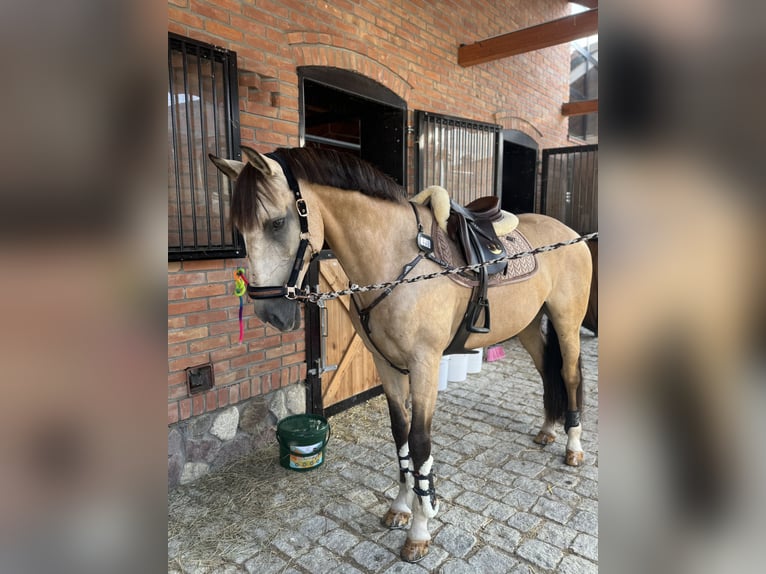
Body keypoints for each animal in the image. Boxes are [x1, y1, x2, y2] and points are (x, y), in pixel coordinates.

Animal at [213, 145, 596, 564]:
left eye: (277, 223)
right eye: (239, 229)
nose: (270, 313)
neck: (396, 258)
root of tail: (571, 235)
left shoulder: (424, 364)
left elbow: (420, 441)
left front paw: (420, 528)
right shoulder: (386, 365)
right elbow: (400, 435)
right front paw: (399, 507)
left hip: (566, 322)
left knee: (570, 375)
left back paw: (573, 447)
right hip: (528, 325)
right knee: (546, 371)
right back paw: (547, 430)